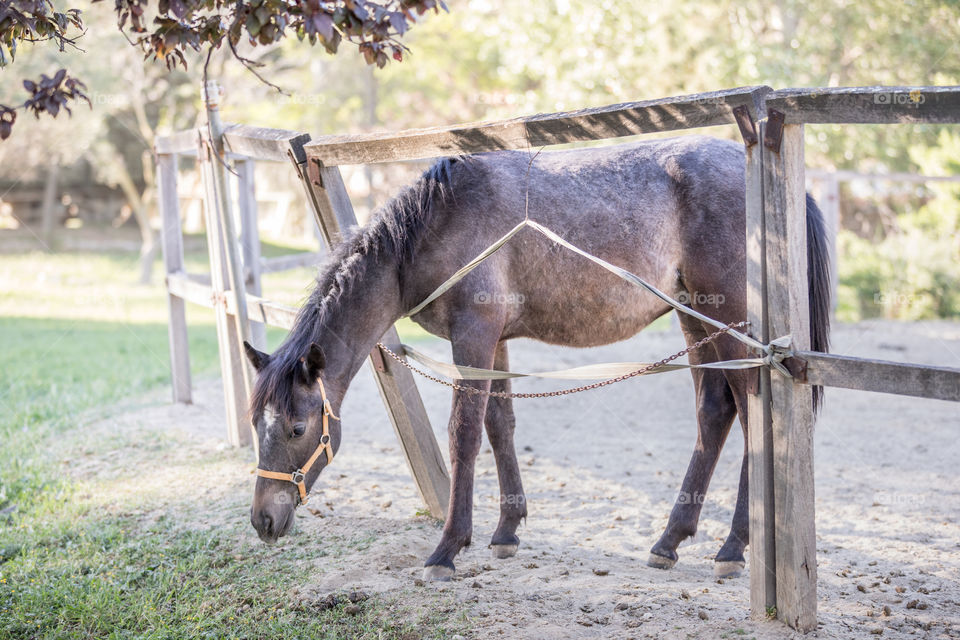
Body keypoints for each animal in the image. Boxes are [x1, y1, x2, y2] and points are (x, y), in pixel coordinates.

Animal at [244, 135, 828, 580]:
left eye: (297, 428)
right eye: (256, 425)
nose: (262, 521)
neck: (439, 222)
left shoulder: (474, 335)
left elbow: (464, 434)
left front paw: (448, 548)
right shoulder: (494, 341)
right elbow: (500, 423)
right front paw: (506, 531)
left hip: (729, 323)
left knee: (750, 412)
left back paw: (733, 546)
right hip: (695, 318)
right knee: (715, 413)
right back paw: (670, 540)